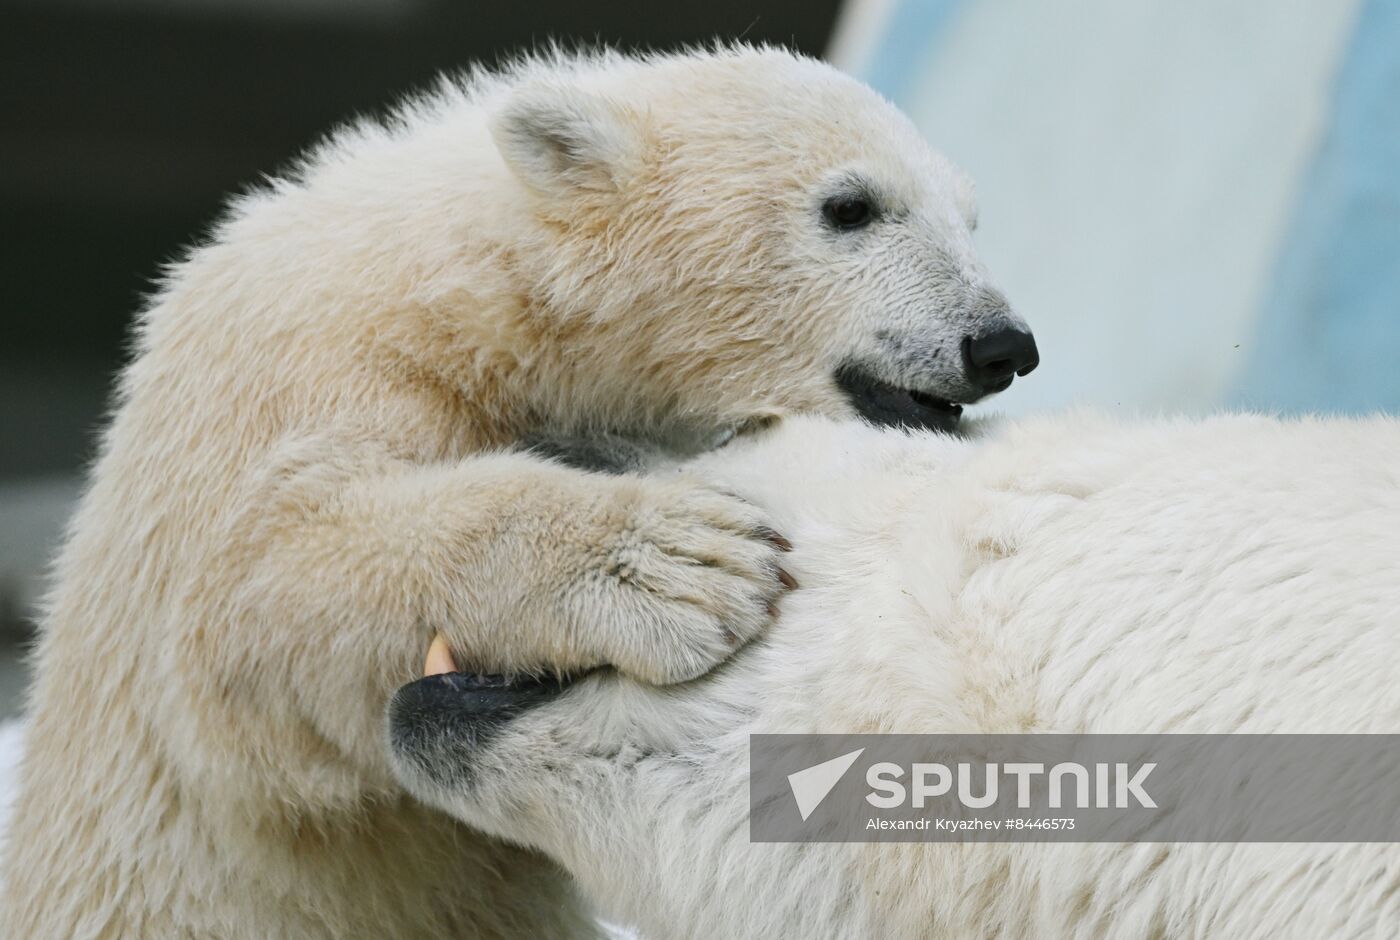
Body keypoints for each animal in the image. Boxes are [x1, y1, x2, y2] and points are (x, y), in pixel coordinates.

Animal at [2, 45, 1041, 940]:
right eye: (851, 206)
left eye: (969, 216)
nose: (1001, 344)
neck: (453, 289)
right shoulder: (295, 384)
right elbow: (268, 577)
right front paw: (684, 567)